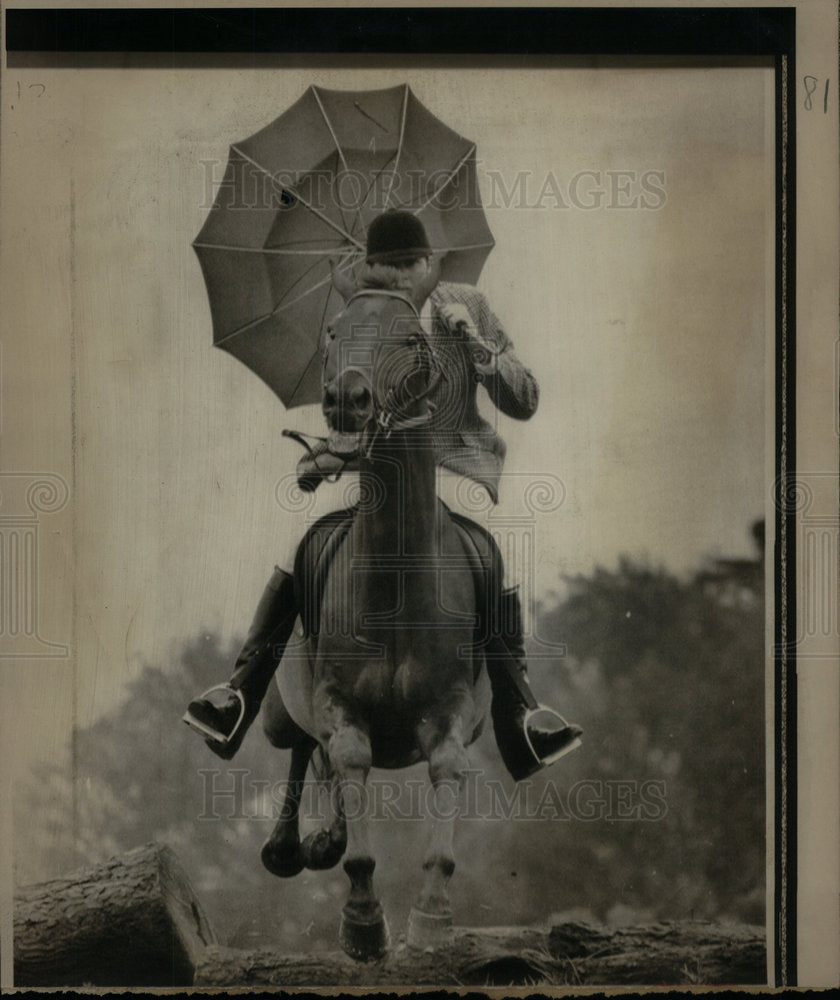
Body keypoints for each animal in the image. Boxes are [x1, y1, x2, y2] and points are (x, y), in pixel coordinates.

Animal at [260, 288, 496, 960]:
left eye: (411, 338)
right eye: (334, 330)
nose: (348, 397)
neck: (393, 587)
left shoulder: (449, 710)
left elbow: (444, 786)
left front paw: (432, 919)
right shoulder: (339, 706)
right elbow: (347, 762)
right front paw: (364, 924)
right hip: (281, 716)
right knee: (302, 756)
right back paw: (291, 847)